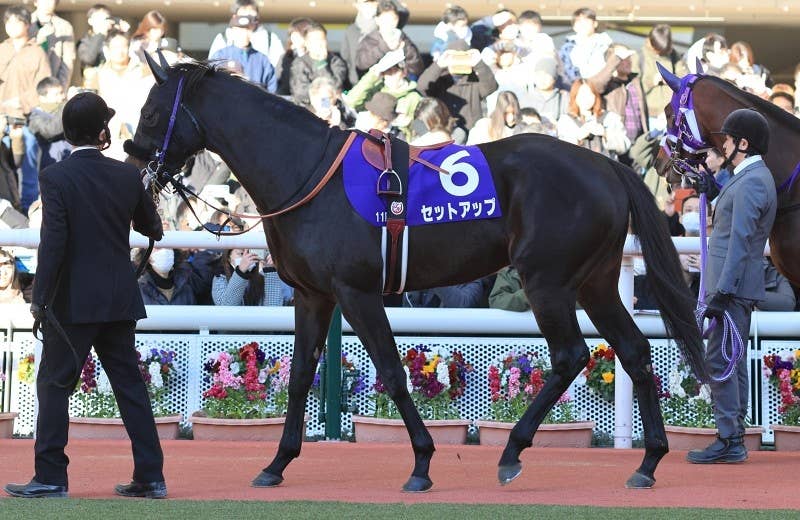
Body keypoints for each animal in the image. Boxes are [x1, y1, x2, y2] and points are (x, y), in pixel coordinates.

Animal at [125, 56, 705, 491]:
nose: (136, 166)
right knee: (634, 351)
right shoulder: (313, 295)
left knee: (569, 356)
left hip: (547, 281)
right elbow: (299, 376)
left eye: (152, 113)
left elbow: (391, 369)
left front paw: (422, 463)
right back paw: (648, 461)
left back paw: (512, 452)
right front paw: (276, 463)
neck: (306, 173)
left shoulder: (355, 292)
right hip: (596, 281)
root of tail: (606, 166)